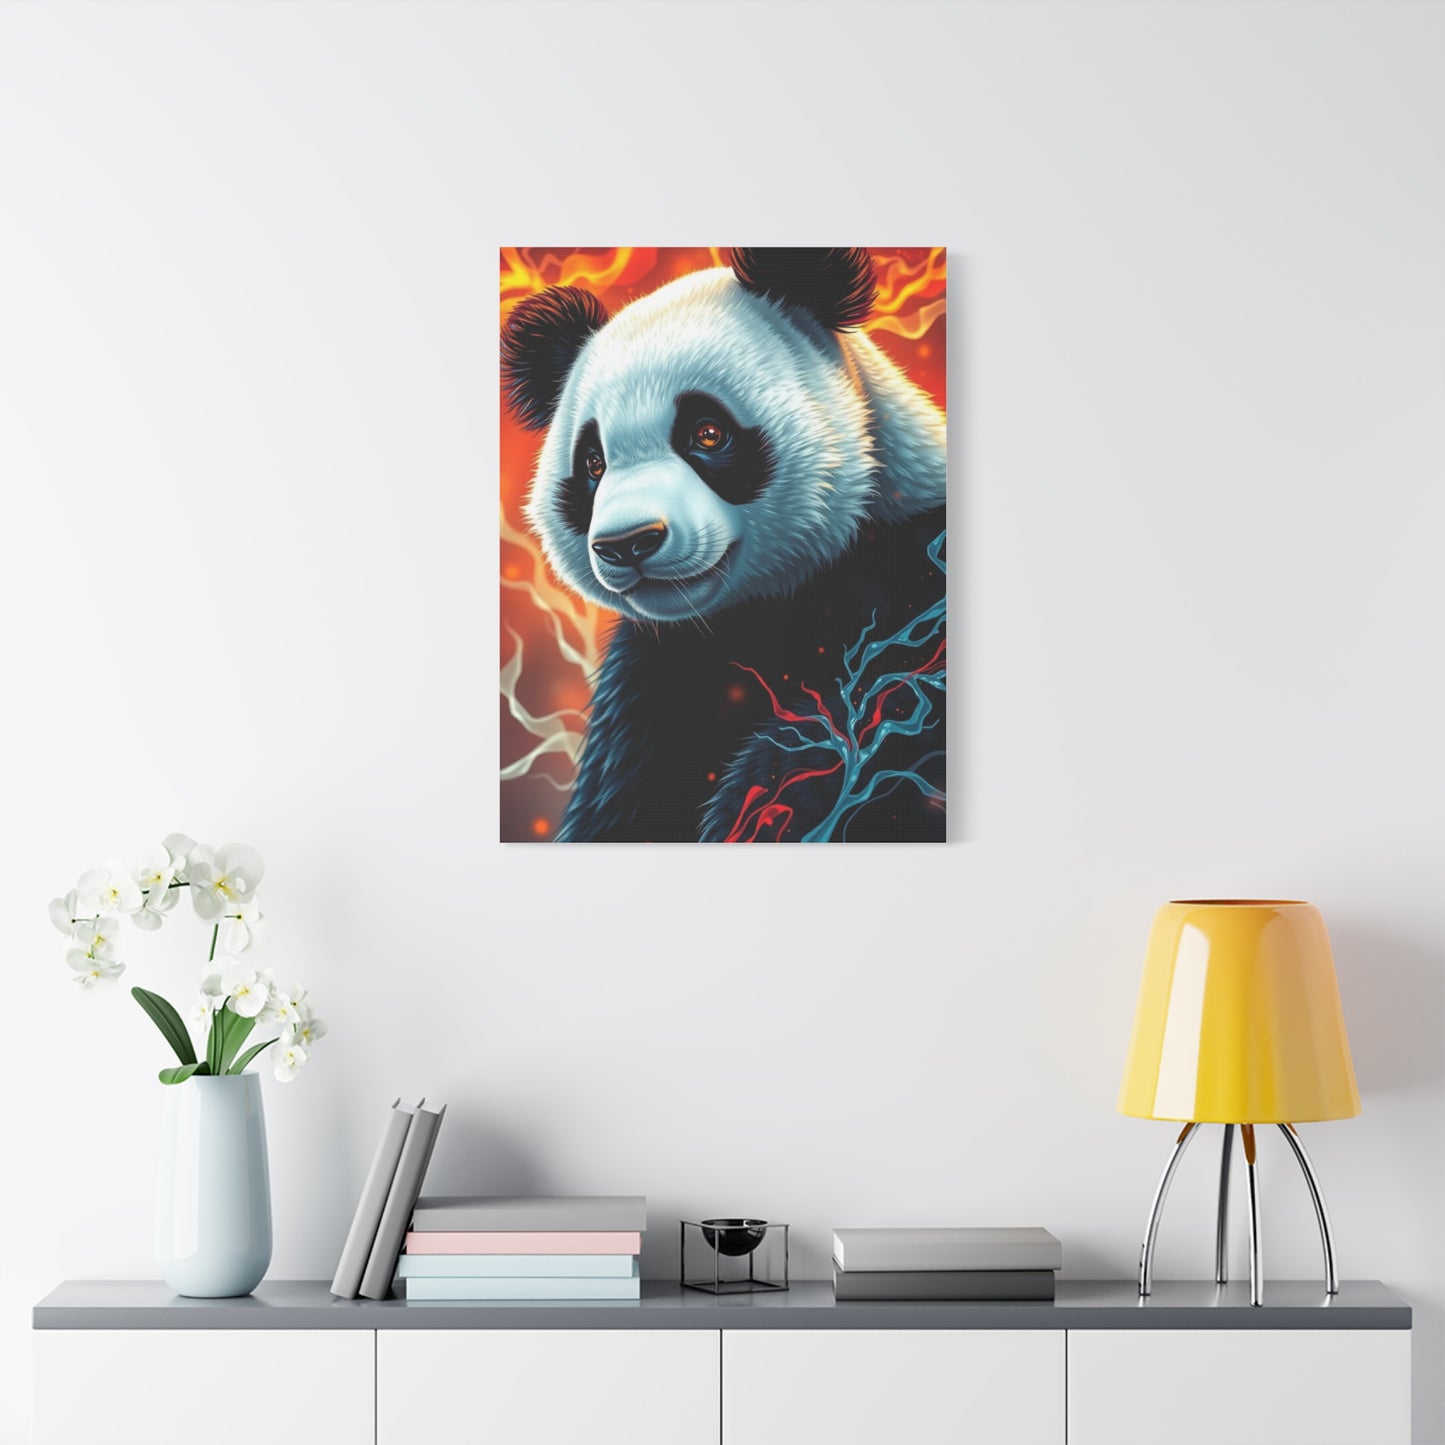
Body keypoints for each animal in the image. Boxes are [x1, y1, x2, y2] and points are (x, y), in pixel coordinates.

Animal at [502, 247, 947, 843]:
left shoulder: (914, 583)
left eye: (708, 433)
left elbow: (883, 732)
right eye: (593, 463)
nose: (627, 544)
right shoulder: (651, 682)